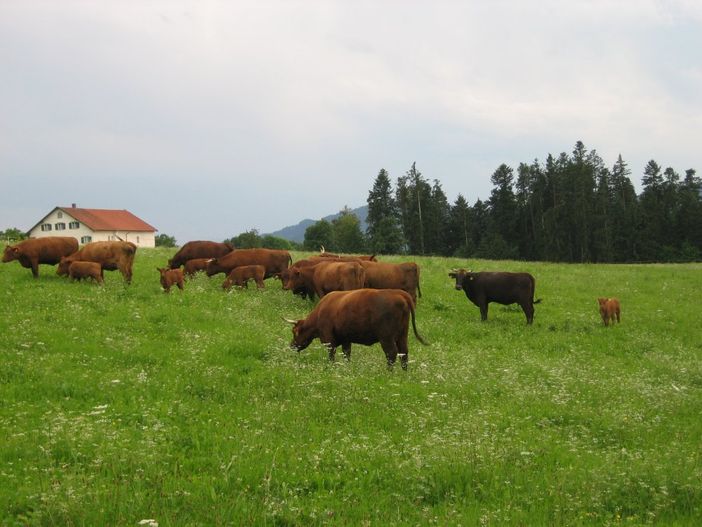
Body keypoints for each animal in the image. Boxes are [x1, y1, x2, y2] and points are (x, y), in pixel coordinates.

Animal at [286, 288, 428, 372]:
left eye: (294, 332)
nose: (291, 345)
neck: (320, 312)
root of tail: (398, 293)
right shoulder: (346, 339)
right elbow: (346, 354)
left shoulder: (329, 339)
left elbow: (331, 355)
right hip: (402, 335)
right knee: (403, 353)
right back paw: (404, 372)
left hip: (386, 337)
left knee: (391, 353)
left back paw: (388, 372)